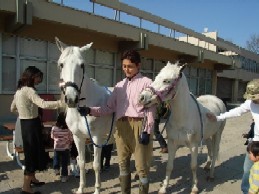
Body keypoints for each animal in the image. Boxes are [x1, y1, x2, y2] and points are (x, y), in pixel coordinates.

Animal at [55, 38, 114, 194]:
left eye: (82, 65)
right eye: (61, 64)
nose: (71, 99)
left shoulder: (97, 138)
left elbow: (96, 165)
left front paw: (97, 189)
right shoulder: (78, 137)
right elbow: (81, 163)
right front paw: (81, 188)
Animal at [138, 62, 228, 194]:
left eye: (166, 81)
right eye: (156, 77)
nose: (142, 97)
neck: (183, 116)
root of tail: (217, 100)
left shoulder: (194, 146)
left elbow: (193, 166)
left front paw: (194, 187)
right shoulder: (172, 143)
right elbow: (169, 166)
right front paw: (164, 187)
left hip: (218, 133)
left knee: (215, 150)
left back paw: (211, 174)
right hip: (207, 136)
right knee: (210, 148)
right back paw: (207, 165)